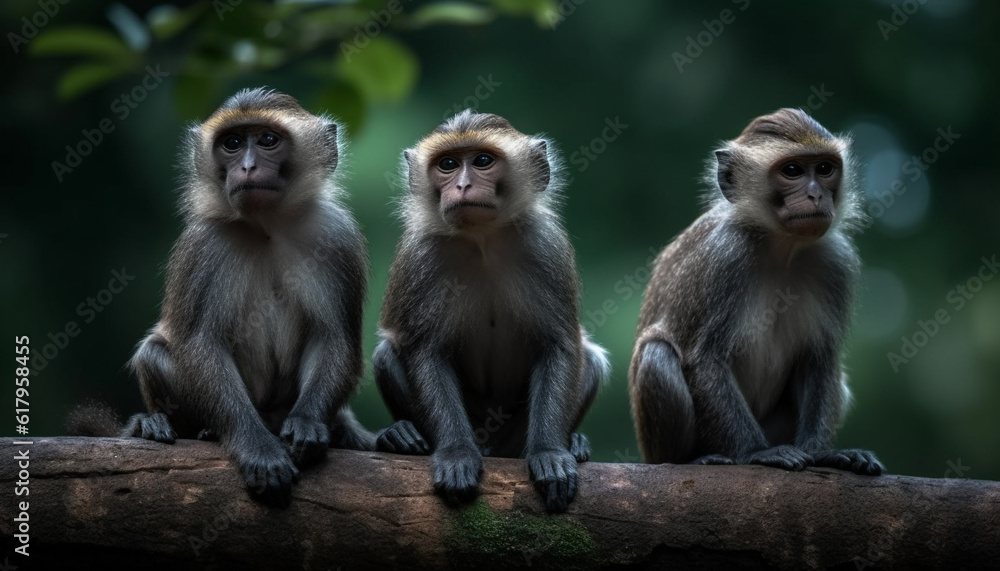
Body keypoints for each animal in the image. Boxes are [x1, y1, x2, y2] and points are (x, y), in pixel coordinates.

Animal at [68, 87, 374, 507]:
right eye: (231, 143)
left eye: (267, 140)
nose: (245, 167)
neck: (266, 227)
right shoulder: (206, 246)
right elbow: (202, 344)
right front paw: (256, 448)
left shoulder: (334, 236)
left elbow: (335, 337)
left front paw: (308, 424)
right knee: (154, 353)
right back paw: (168, 425)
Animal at [370, 110, 610, 513]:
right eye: (448, 165)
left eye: (482, 160)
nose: (463, 185)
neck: (482, 240)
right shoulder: (421, 257)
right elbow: (426, 352)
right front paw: (455, 453)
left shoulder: (546, 247)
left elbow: (559, 345)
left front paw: (550, 452)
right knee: (387, 352)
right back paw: (401, 435)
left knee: (589, 358)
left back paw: (573, 443)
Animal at [628, 108, 883, 476]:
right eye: (792, 171)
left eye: (824, 168)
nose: (816, 195)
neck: (780, 249)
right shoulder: (724, 258)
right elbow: (705, 359)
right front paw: (756, 453)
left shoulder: (835, 263)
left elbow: (819, 360)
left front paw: (824, 453)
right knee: (657, 356)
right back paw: (692, 458)